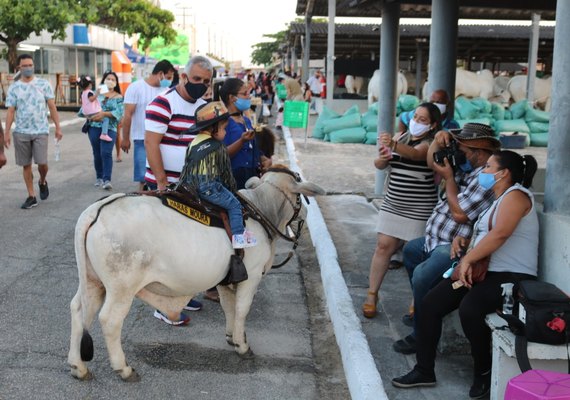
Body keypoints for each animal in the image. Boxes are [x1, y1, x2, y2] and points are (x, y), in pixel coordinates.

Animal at [65, 168, 324, 382]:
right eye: (299, 197)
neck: (260, 209)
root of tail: (97, 210)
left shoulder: (226, 280)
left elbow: (229, 308)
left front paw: (231, 336)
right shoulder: (251, 277)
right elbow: (242, 309)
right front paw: (242, 345)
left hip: (93, 282)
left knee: (79, 311)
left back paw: (78, 366)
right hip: (122, 288)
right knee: (109, 320)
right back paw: (124, 369)